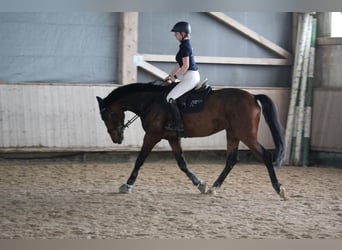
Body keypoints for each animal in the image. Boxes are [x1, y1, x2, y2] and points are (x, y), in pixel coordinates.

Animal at [95, 82, 286, 199]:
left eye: (106, 116)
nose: (117, 139)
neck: (150, 102)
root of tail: (253, 96)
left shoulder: (151, 135)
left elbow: (140, 160)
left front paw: (127, 185)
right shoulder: (172, 138)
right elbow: (182, 164)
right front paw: (200, 184)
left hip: (246, 134)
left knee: (265, 156)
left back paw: (279, 189)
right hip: (233, 134)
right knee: (231, 159)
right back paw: (214, 187)